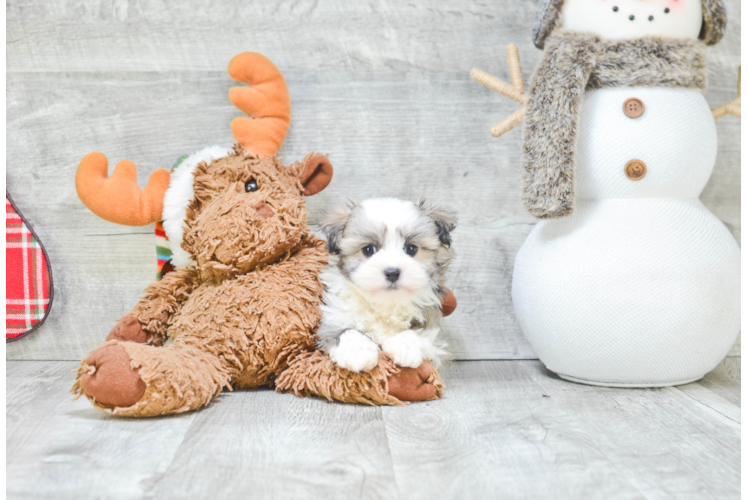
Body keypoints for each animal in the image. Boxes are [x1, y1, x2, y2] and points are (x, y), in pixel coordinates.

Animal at [316, 197, 456, 374]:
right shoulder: (336, 315)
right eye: (369, 249)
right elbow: (345, 331)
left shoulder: (431, 323)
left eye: (411, 249)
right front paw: (357, 351)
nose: (392, 272)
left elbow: (423, 333)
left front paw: (405, 345)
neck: (385, 302)